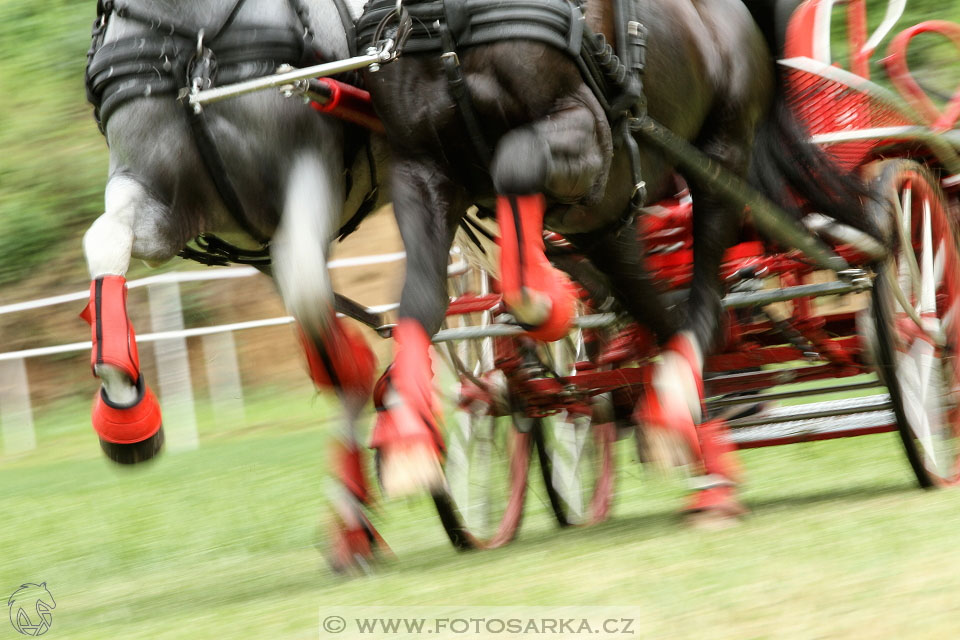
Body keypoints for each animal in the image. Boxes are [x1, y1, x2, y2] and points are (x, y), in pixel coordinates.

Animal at [358, 1, 872, 510]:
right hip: (610, 217)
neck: (446, 21)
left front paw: (548, 305)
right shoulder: (420, 169)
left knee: (705, 285)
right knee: (660, 309)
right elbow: (422, 297)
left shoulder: (586, 128)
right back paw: (690, 430)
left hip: (717, 155)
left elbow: (517, 162)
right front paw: (406, 434)